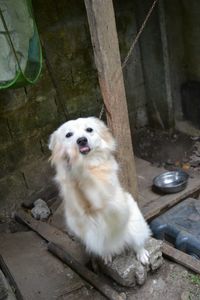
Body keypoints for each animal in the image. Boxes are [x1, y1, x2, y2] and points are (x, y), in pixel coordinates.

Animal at [48, 117, 150, 264]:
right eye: (68, 135)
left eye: (89, 129)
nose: (81, 140)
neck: (89, 165)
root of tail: (118, 244)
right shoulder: (77, 209)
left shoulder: (106, 199)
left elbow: (92, 184)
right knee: (105, 248)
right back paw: (107, 255)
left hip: (135, 226)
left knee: (138, 243)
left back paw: (142, 255)